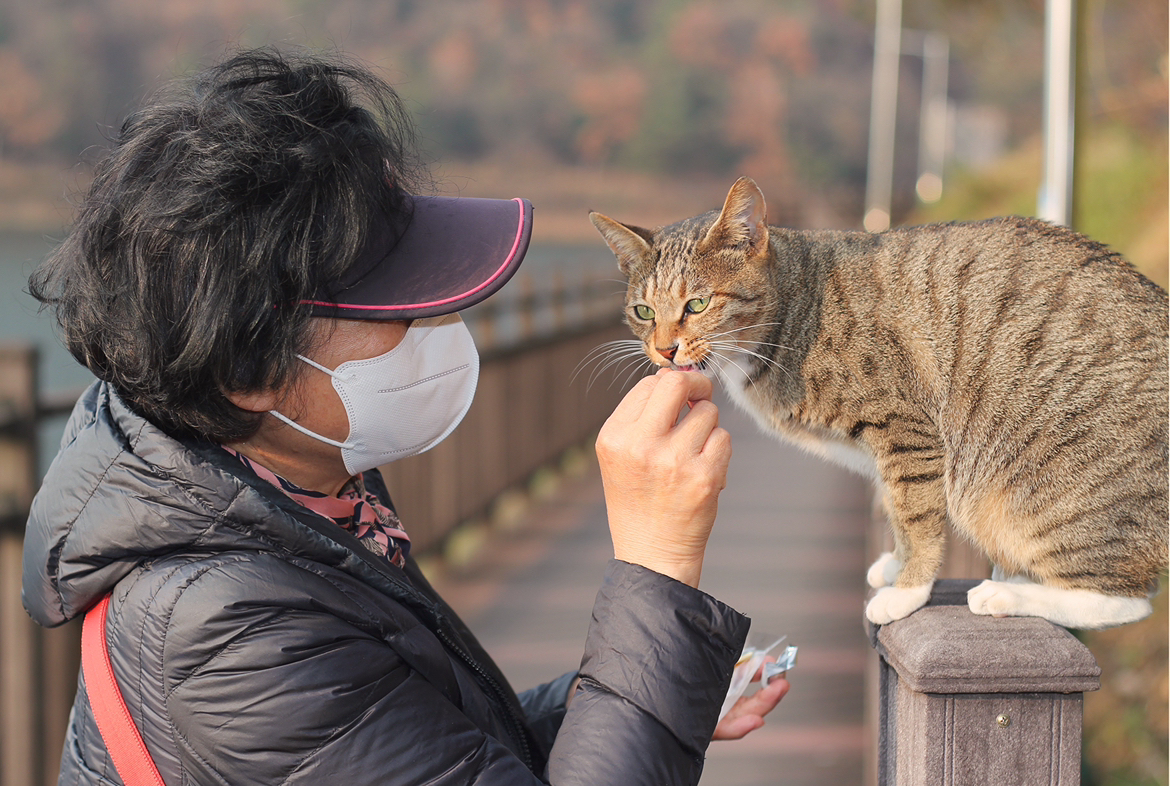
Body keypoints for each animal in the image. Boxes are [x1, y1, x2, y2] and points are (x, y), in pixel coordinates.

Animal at [594, 175, 1170, 631]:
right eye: (644, 312)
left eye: (697, 304)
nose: (664, 349)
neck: (794, 308)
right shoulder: (890, 453)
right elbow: (898, 510)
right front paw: (894, 564)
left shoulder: (905, 430)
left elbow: (916, 516)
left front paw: (907, 592)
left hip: (1045, 492)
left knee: (1126, 600)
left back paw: (1005, 593)